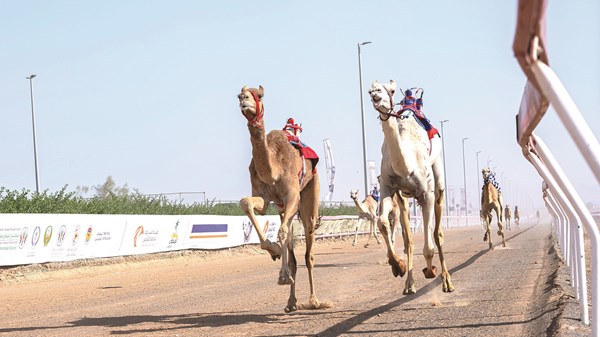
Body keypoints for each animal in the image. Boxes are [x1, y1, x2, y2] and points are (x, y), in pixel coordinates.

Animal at [238, 84, 324, 312]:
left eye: (259, 95)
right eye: (239, 95)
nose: (244, 99)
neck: (273, 169)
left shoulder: (292, 195)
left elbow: (283, 232)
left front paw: (283, 276)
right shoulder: (264, 196)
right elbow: (247, 204)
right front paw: (273, 250)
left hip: (310, 193)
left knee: (308, 252)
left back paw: (314, 300)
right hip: (282, 207)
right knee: (291, 244)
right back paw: (291, 302)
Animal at [366, 79, 454, 294]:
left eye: (389, 90)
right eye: (370, 90)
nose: (375, 93)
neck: (406, 164)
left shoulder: (426, 194)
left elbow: (430, 243)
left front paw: (430, 270)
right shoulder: (387, 188)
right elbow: (383, 223)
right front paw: (398, 266)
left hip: (437, 183)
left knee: (437, 234)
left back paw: (447, 281)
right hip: (403, 198)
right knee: (409, 239)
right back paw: (409, 285)